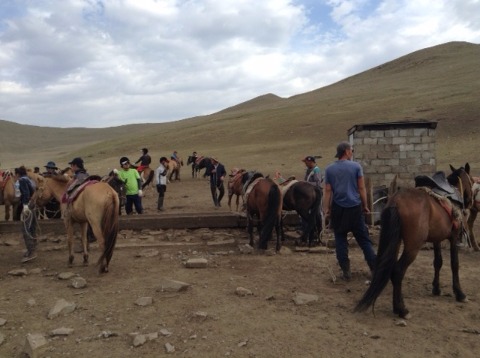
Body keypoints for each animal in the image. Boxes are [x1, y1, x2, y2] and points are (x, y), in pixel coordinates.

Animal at [354, 165, 474, 318]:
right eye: (471, 181)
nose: (470, 202)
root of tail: (396, 202)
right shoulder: (453, 237)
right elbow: (454, 264)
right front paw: (460, 294)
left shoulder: (437, 239)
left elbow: (438, 262)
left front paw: (436, 289)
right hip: (412, 247)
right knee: (398, 271)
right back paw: (401, 309)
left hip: (395, 242)